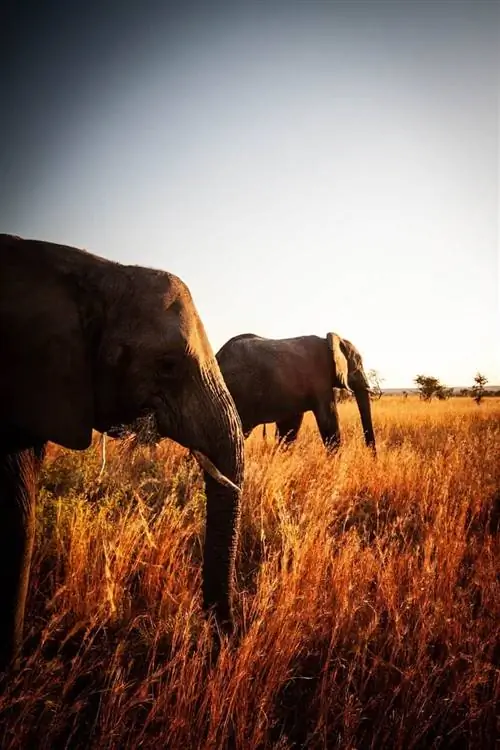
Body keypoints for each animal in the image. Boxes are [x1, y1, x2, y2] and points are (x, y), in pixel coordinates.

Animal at [216, 332, 376, 452]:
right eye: (358, 366)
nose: (372, 458)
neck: (330, 341)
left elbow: (289, 428)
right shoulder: (319, 378)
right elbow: (328, 421)